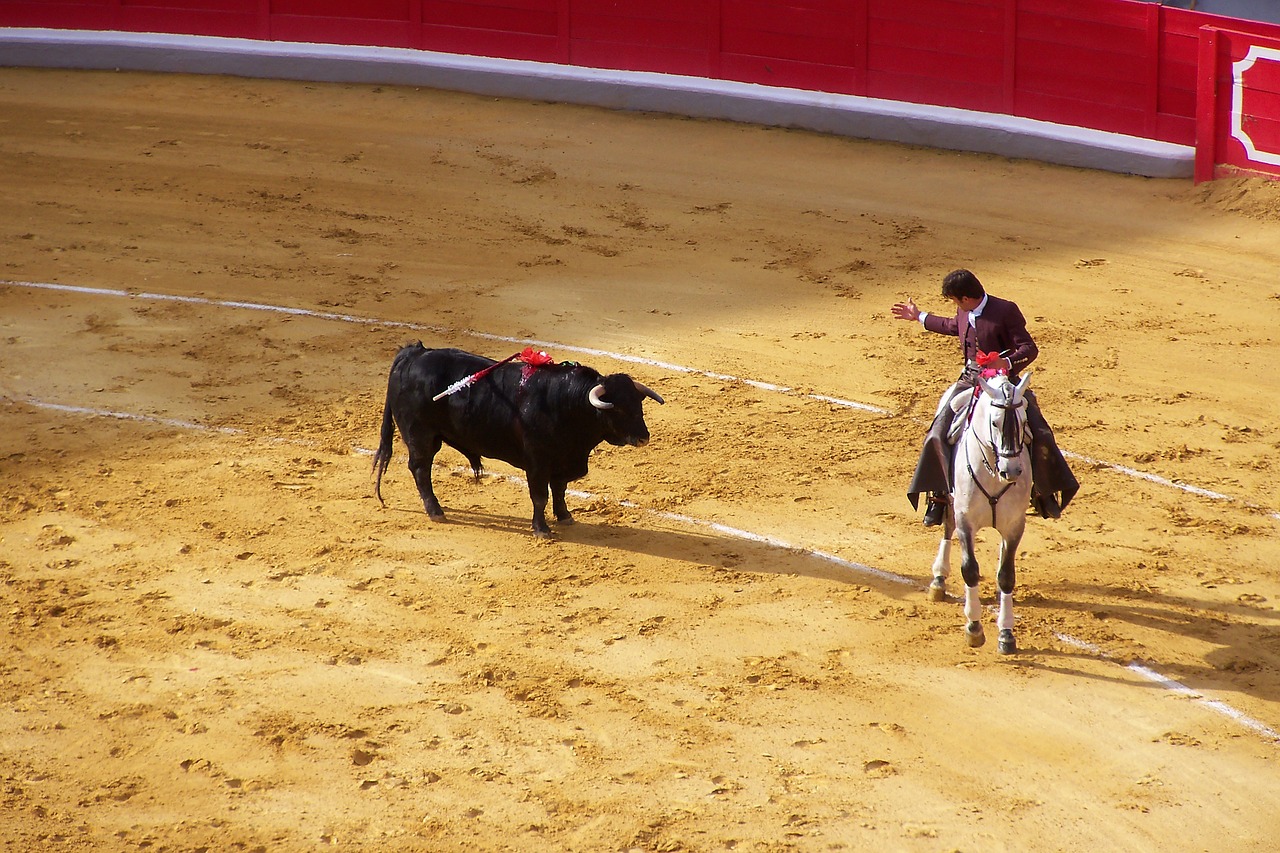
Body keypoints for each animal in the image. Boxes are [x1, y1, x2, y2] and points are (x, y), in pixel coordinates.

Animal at [373, 343, 665, 532]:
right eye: (618, 408)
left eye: (638, 404)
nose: (644, 437)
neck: (567, 403)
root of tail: (415, 353)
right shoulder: (537, 463)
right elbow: (540, 495)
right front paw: (541, 528)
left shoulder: (563, 461)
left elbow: (559, 490)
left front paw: (565, 516)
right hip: (421, 435)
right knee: (420, 468)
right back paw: (436, 511)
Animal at [926, 368, 1034, 653]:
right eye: (995, 423)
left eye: (1023, 421)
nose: (1012, 471)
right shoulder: (966, 521)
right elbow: (970, 570)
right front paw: (973, 627)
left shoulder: (1014, 526)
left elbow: (1007, 575)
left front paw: (1006, 633)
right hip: (950, 500)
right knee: (947, 525)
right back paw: (938, 578)